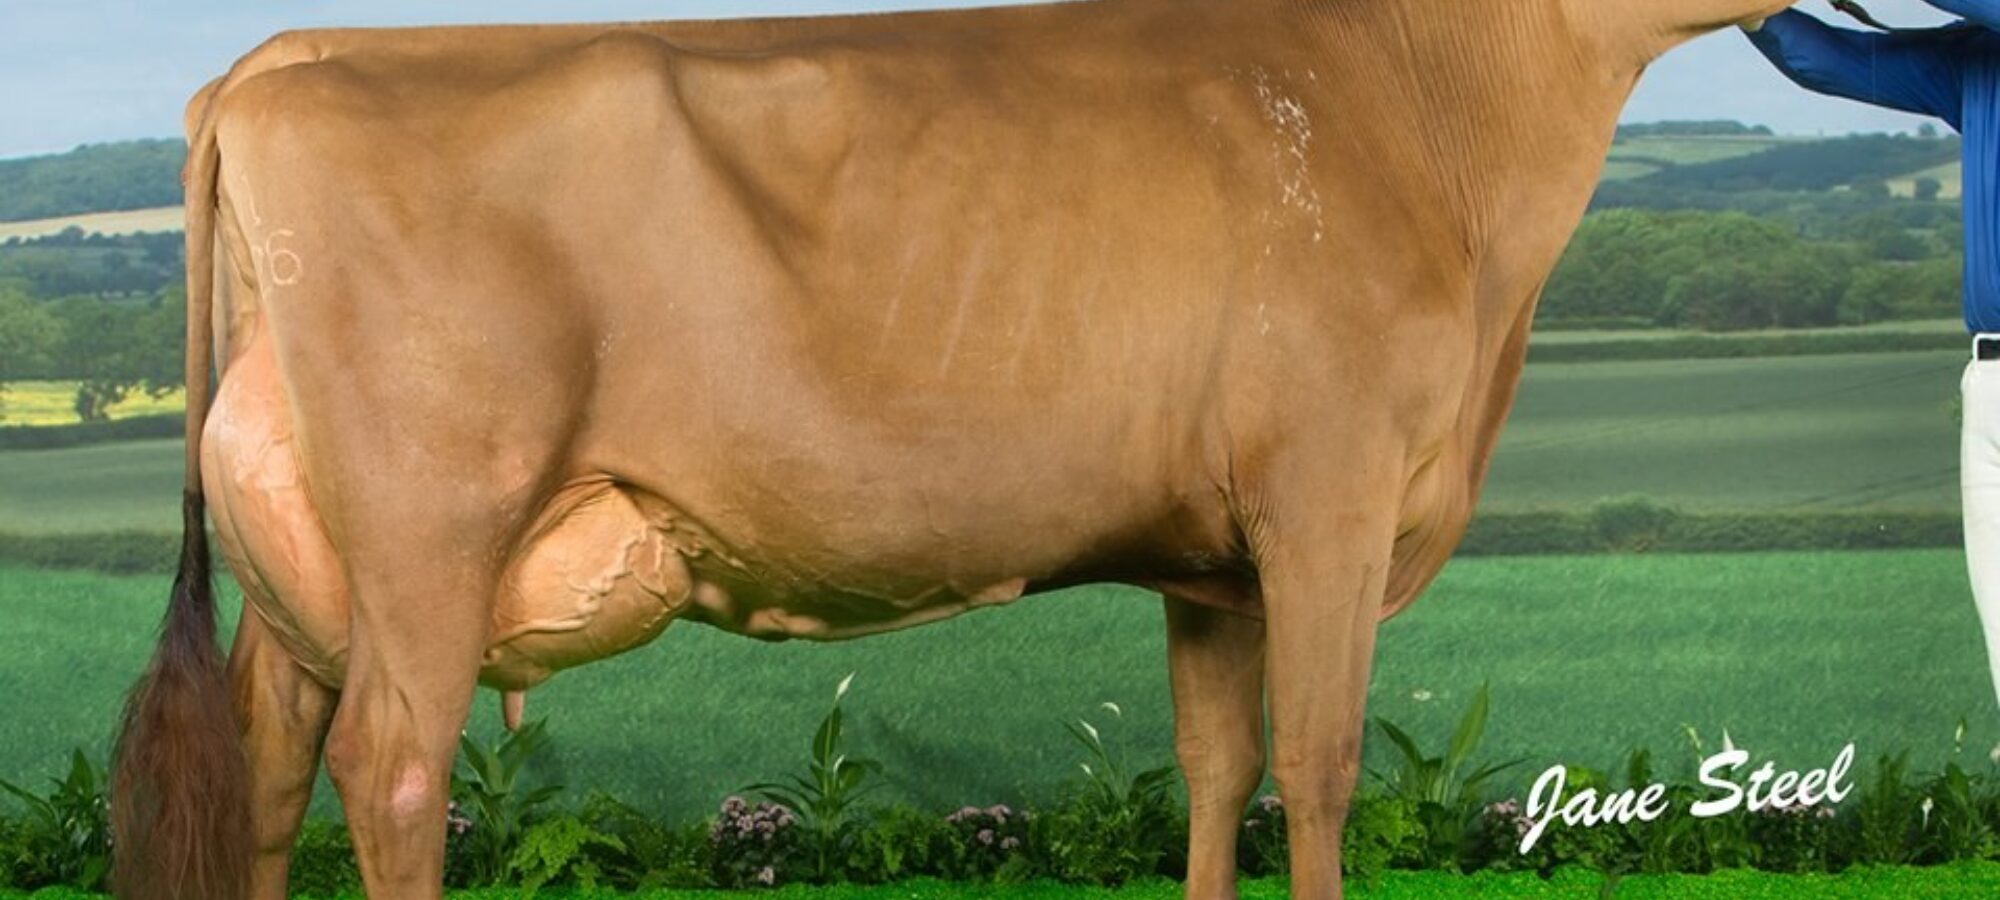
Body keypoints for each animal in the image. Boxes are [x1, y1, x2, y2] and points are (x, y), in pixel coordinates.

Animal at [108, 1, 1792, 898]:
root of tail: (282, 59)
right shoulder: (1332, 488)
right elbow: (1316, 767)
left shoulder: (1212, 551)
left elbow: (1221, 760)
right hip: (429, 527)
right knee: (390, 769)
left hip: (307, 563)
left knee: (270, 762)